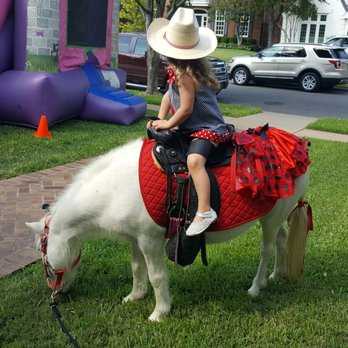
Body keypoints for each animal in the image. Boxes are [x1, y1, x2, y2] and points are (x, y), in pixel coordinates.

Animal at [26, 138, 310, 320]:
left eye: (43, 256)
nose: (56, 294)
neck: (115, 188)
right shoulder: (134, 239)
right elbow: (137, 269)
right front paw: (135, 296)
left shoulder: (150, 241)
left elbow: (157, 276)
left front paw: (159, 312)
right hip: (273, 217)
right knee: (281, 240)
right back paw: (276, 274)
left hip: (271, 220)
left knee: (267, 250)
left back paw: (257, 286)